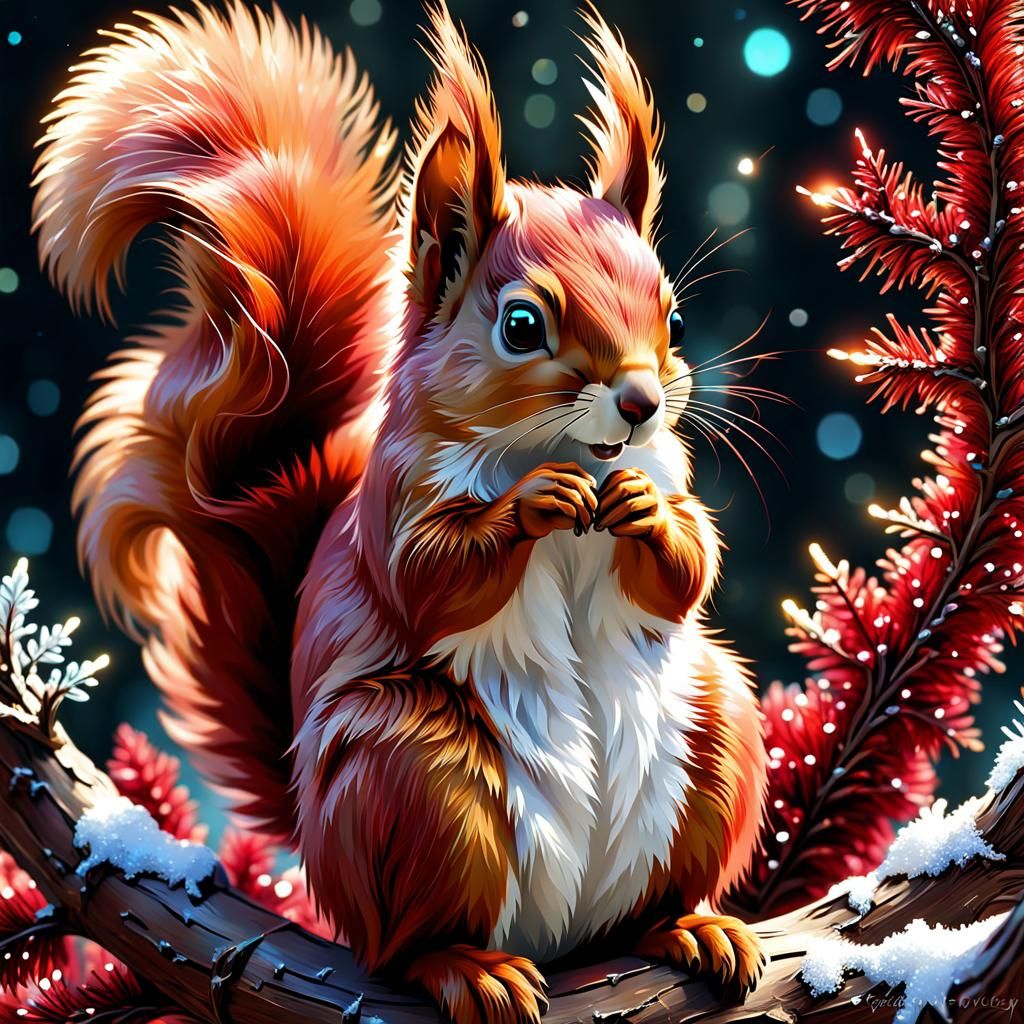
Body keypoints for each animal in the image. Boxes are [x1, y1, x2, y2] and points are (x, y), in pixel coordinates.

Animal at [33, 2, 768, 1021]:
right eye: (522, 325)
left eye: (673, 317)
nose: (639, 401)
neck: (562, 452)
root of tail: (559, 934)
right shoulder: (393, 503)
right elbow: (430, 578)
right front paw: (530, 507)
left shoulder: (672, 476)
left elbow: (689, 563)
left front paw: (646, 512)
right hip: (414, 776)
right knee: (400, 943)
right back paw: (470, 966)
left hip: (717, 733)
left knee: (639, 909)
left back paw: (690, 926)